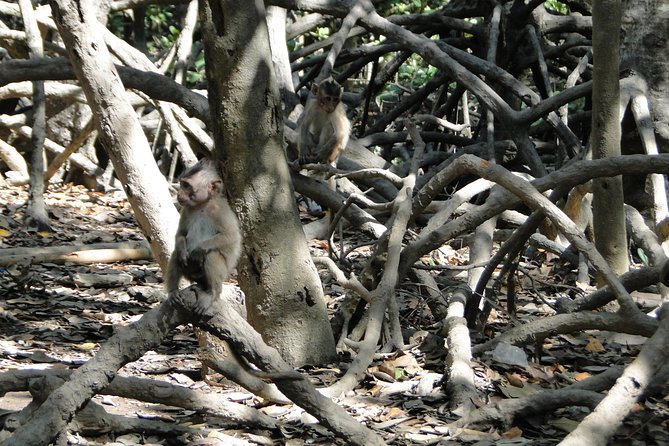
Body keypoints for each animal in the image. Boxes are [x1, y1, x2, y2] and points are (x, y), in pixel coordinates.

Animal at [165, 158, 242, 316]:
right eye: (181, 183)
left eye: (186, 186)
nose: (179, 194)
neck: (202, 206)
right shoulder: (186, 210)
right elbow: (181, 234)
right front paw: (183, 249)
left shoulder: (220, 211)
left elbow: (232, 237)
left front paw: (199, 249)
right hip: (191, 274)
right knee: (177, 255)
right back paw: (173, 291)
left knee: (212, 255)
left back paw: (212, 293)